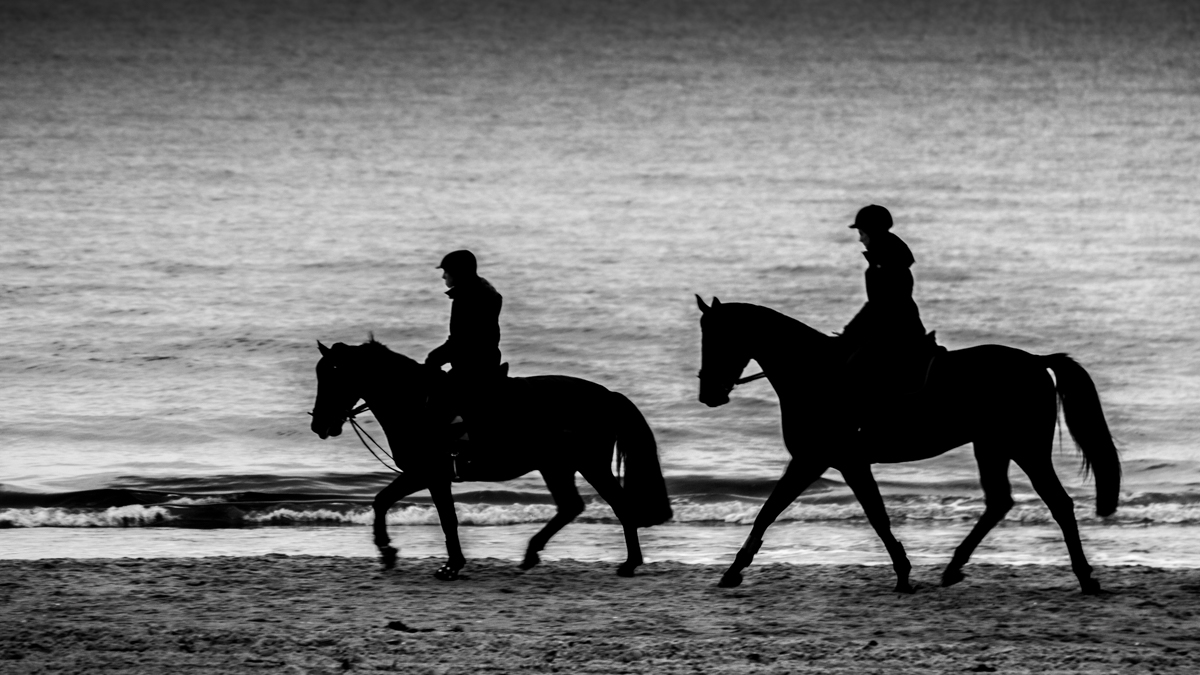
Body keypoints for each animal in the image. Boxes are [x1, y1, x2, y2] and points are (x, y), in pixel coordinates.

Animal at [309, 338, 672, 576]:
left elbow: (445, 519)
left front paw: (450, 566)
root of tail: (607, 396)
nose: (319, 424)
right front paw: (388, 552)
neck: (415, 404)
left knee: (618, 505)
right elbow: (383, 501)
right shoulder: (422, 474)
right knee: (571, 506)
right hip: (556, 467)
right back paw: (531, 554)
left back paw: (629, 564)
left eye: (335, 374)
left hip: (589, 465)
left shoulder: (430, 474)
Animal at [700, 296, 1118, 590]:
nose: (709, 394)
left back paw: (1086, 578)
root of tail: (1035, 360)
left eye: (719, 338)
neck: (815, 375)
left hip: (1026, 448)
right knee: (999, 501)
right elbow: (787, 511)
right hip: (992, 446)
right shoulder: (831, 461)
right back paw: (952, 569)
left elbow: (785, 511)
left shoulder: (824, 459)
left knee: (1058, 503)